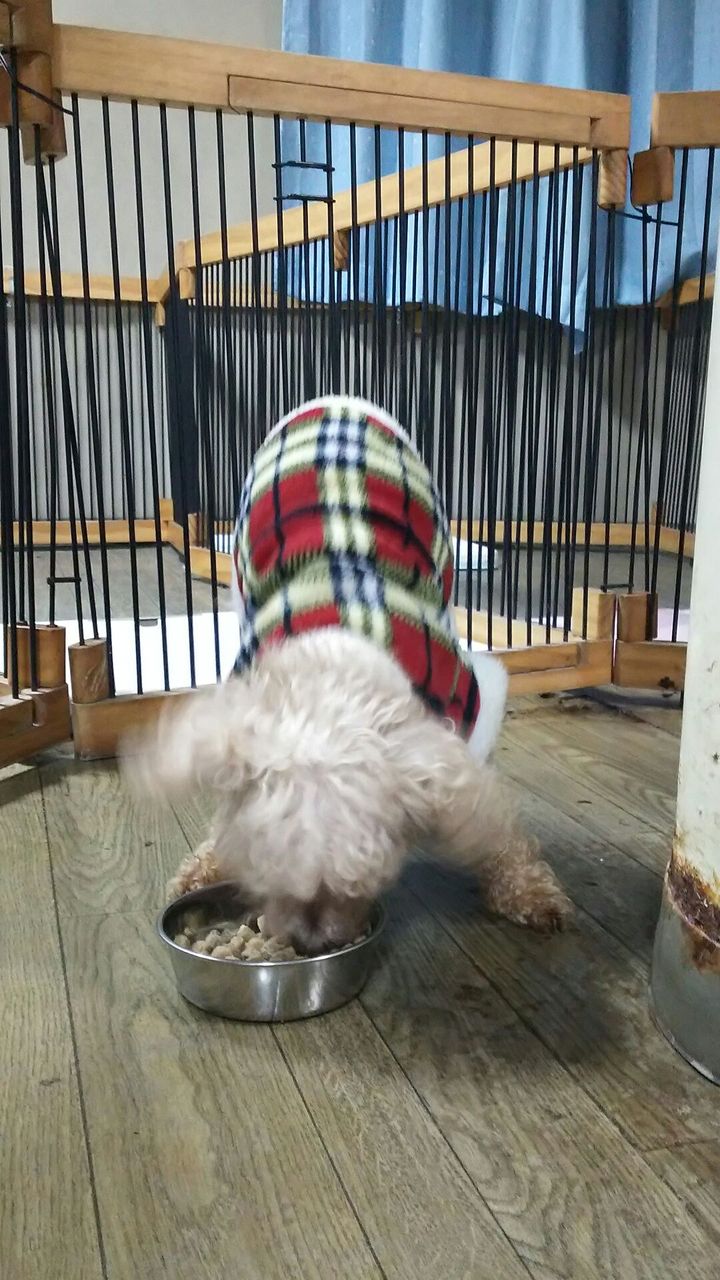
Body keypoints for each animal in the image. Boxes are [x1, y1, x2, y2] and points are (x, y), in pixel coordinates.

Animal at [125, 396, 571, 951]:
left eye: (353, 887)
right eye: (264, 883)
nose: (308, 944)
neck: (336, 662)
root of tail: (336, 401)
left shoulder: (466, 712)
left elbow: (490, 820)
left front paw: (526, 888)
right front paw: (203, 866)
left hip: (440, 547)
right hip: (240, 571)